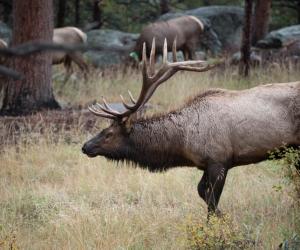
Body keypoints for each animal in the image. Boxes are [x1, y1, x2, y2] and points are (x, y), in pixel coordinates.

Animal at [82, 38, 300, 216]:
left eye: (108, 133)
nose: (85, 146)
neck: (183, 143)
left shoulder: (219, 160)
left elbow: (211, 201)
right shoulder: (205, 163)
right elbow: (202, 193)